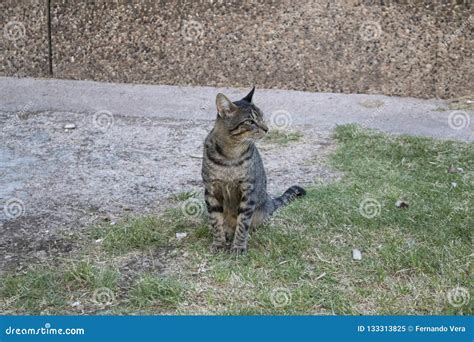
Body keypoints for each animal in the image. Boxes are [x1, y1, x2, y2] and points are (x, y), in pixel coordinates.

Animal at [201, 88, 306, 254]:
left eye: (262, 117)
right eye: (250, 121)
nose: (266, 129)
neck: (231, 155)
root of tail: (270, 200)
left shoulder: (248, 190)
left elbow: (243, 223)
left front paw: (238, 247)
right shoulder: (211, 190)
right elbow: (216, 222)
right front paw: (218, 244)